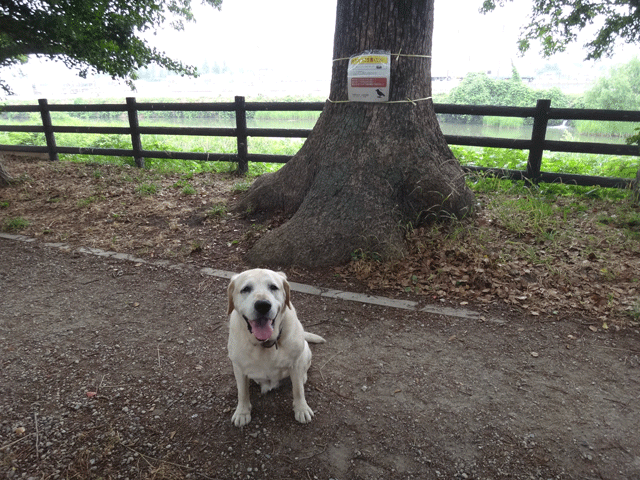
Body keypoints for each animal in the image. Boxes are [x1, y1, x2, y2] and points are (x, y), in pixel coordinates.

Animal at [228, 270, 324, 428]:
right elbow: (242, 392)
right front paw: (242, 412)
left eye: (273, 287)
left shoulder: (296, 363)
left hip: (305, 351)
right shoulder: (238, 367)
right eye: (246, 289)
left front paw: (301, 409)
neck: (265, 344)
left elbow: (298, 390)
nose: (262, 305)